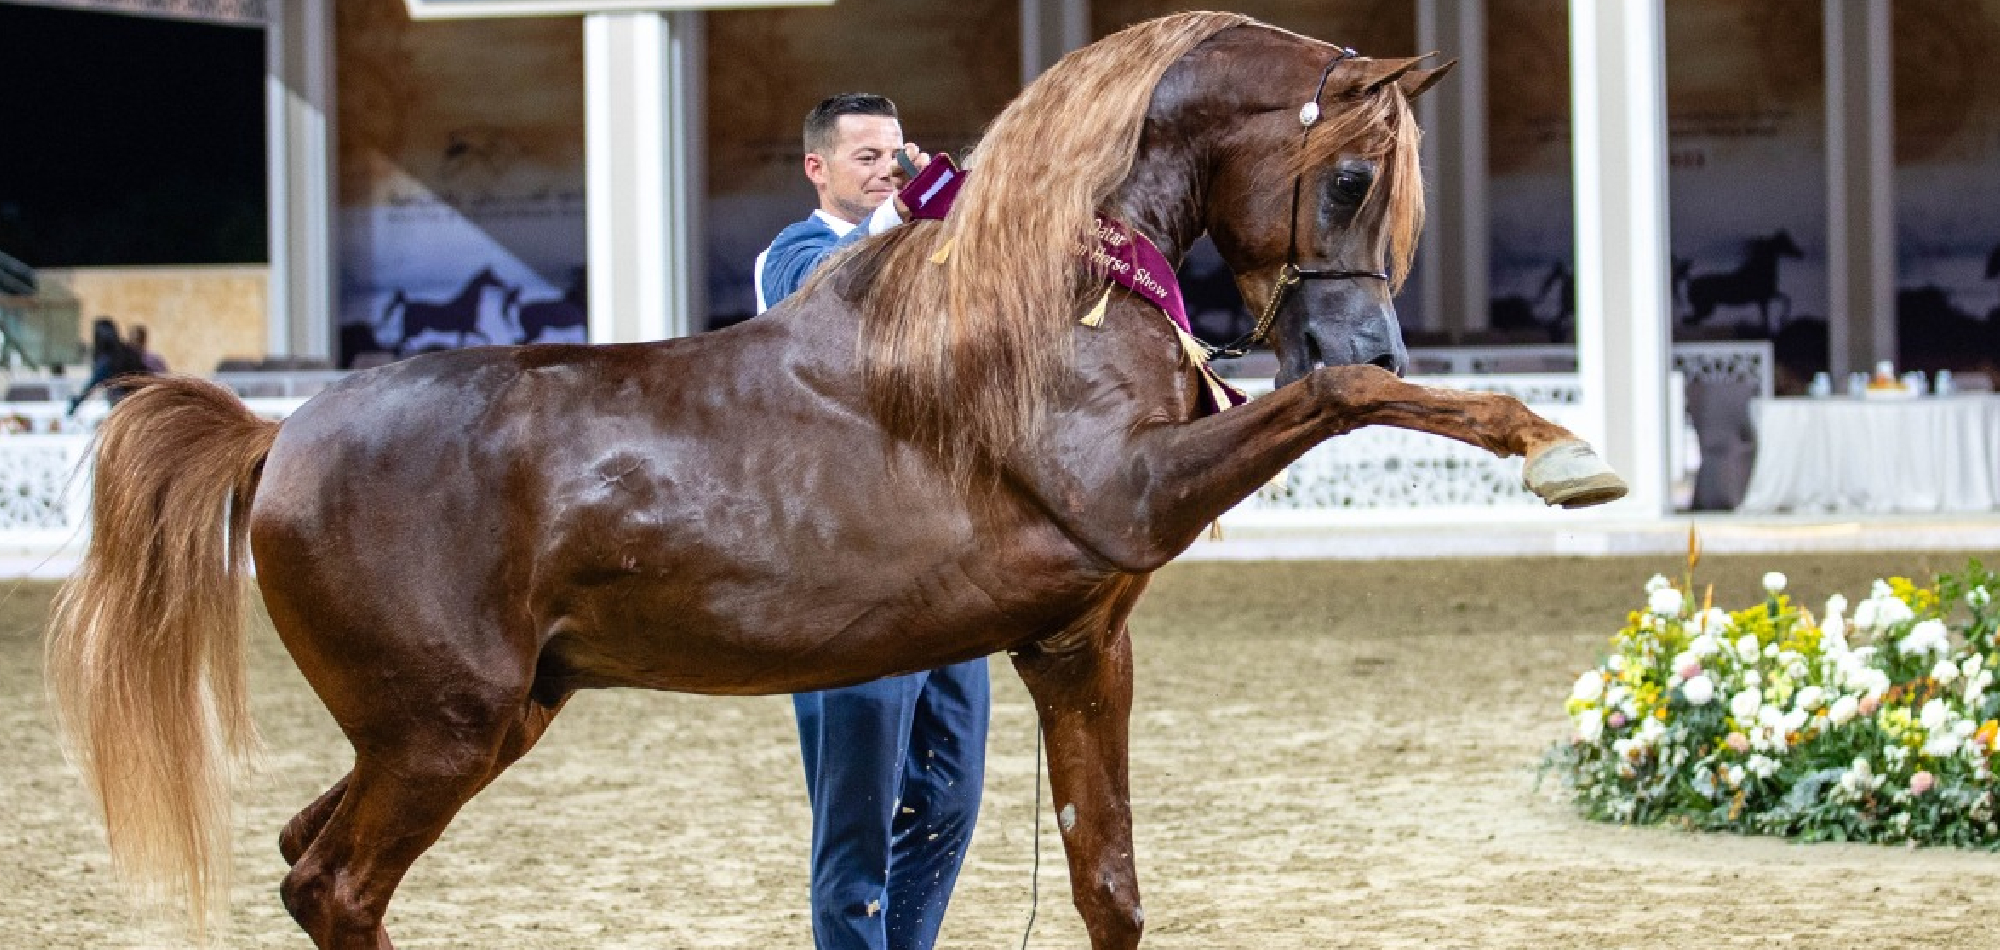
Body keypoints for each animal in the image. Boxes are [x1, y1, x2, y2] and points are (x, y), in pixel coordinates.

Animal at [50, 11, 1624, 948]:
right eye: (1349, 180)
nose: (1369, 327)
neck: (1040, 300)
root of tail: (280, 439)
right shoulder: (1139, 494)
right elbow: (1336, 404)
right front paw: (1562, 454)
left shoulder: (1076, 647)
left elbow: (1107, 881)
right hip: (440, 731)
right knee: (336, 880)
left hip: (473, 722)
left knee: (305, 860)